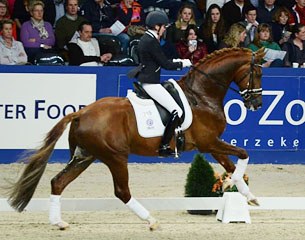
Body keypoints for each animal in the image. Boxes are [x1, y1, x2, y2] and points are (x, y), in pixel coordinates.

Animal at [7, 47, 264, 231]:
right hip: (115, 157)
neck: (200, 95)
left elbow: (232, 164)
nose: (257, 104)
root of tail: (81, 112)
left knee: (58, 182)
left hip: (85, 156)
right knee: (122, 191)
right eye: (257, 73)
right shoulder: (208, 142)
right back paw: (150, 220)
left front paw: (248, 195)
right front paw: (233, 185)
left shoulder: (211, 144)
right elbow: (243, 154)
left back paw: (58, 222)